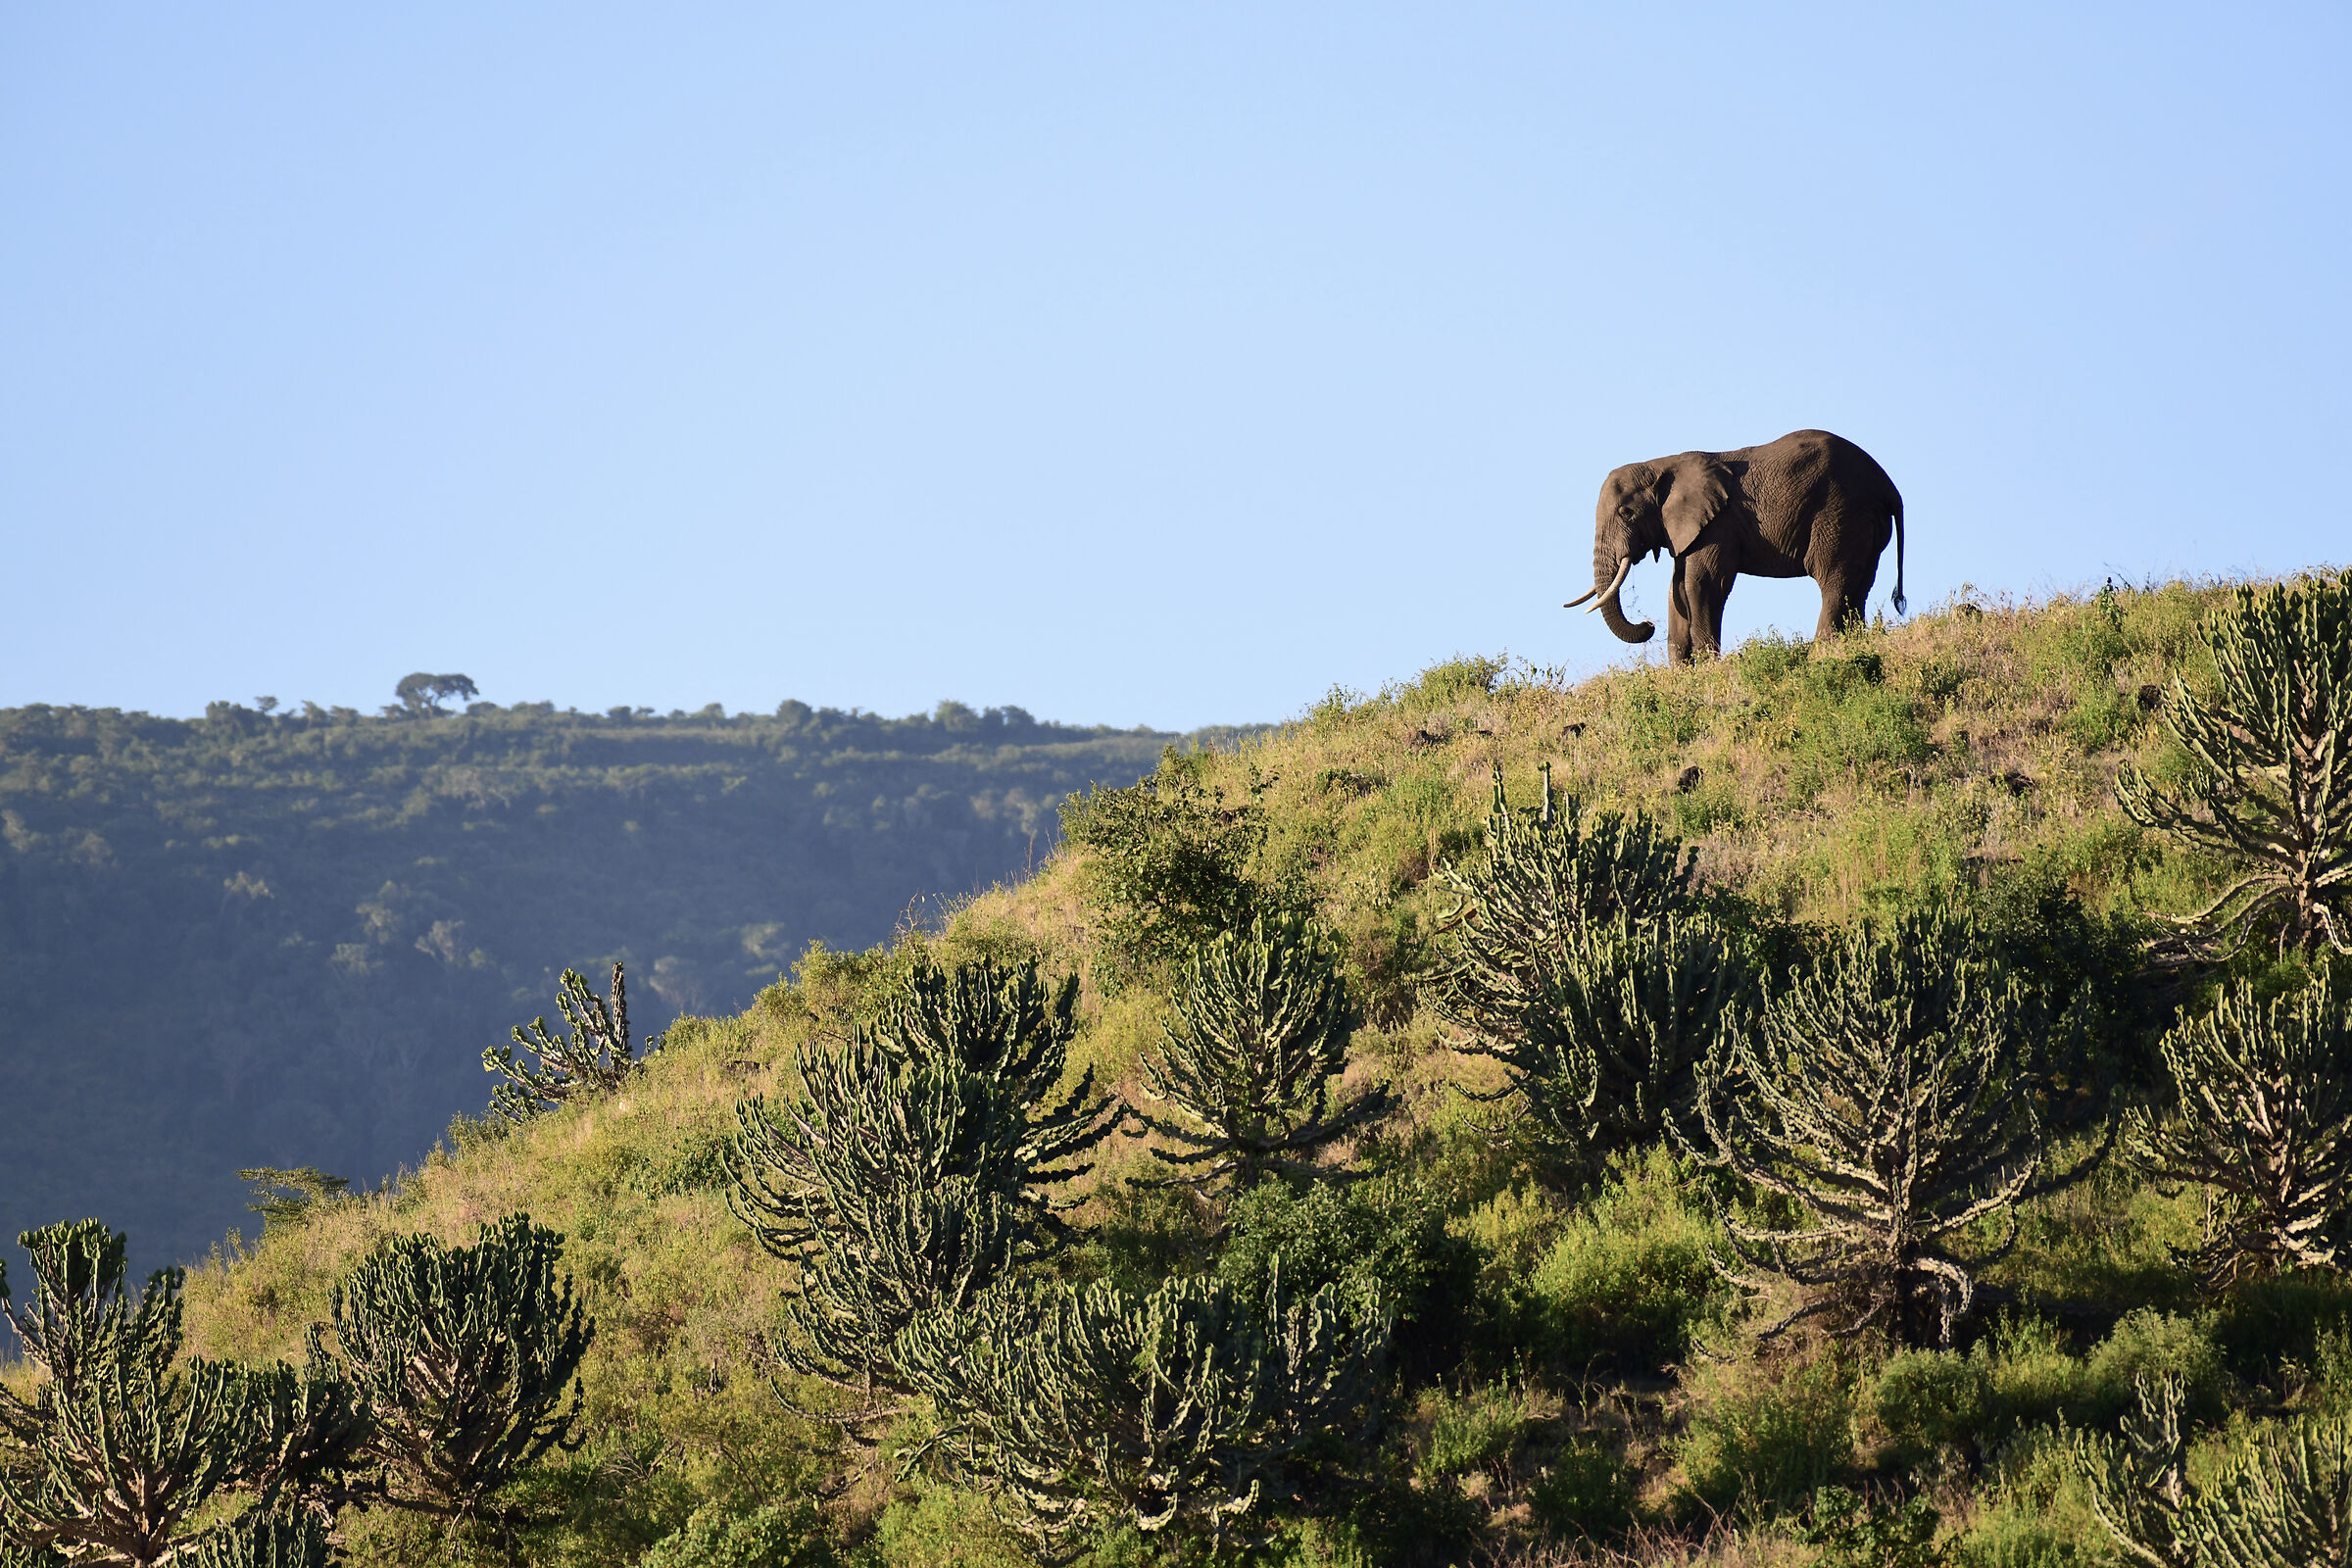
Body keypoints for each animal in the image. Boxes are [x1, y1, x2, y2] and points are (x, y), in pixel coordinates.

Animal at [1564, 429, 1905, 663]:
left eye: (1626, 513)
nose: (1647, 625)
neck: (1665, 464)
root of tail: (1889, 487)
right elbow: (1676, 588)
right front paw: (1681, 672)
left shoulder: (1718, 524)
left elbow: (1701, 583)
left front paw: (1707, 665)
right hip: (1864, 521)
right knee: (1859, 584)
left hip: (1840, 513)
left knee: (1832, 577)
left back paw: (1821, 651)